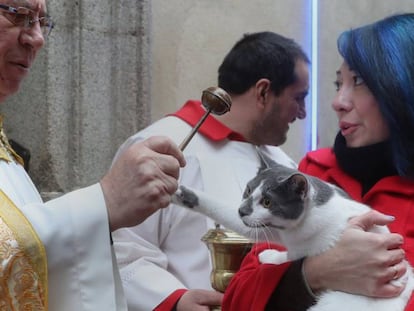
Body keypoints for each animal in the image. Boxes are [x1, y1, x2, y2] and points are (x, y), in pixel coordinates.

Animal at [171, 152, 414, 311]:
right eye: (248, 190)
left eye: (268, 202)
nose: (243, 210)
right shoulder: (271, 229)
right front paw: (181, 194)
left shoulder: (309, 244)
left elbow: (291, 256)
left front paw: (271, 256)